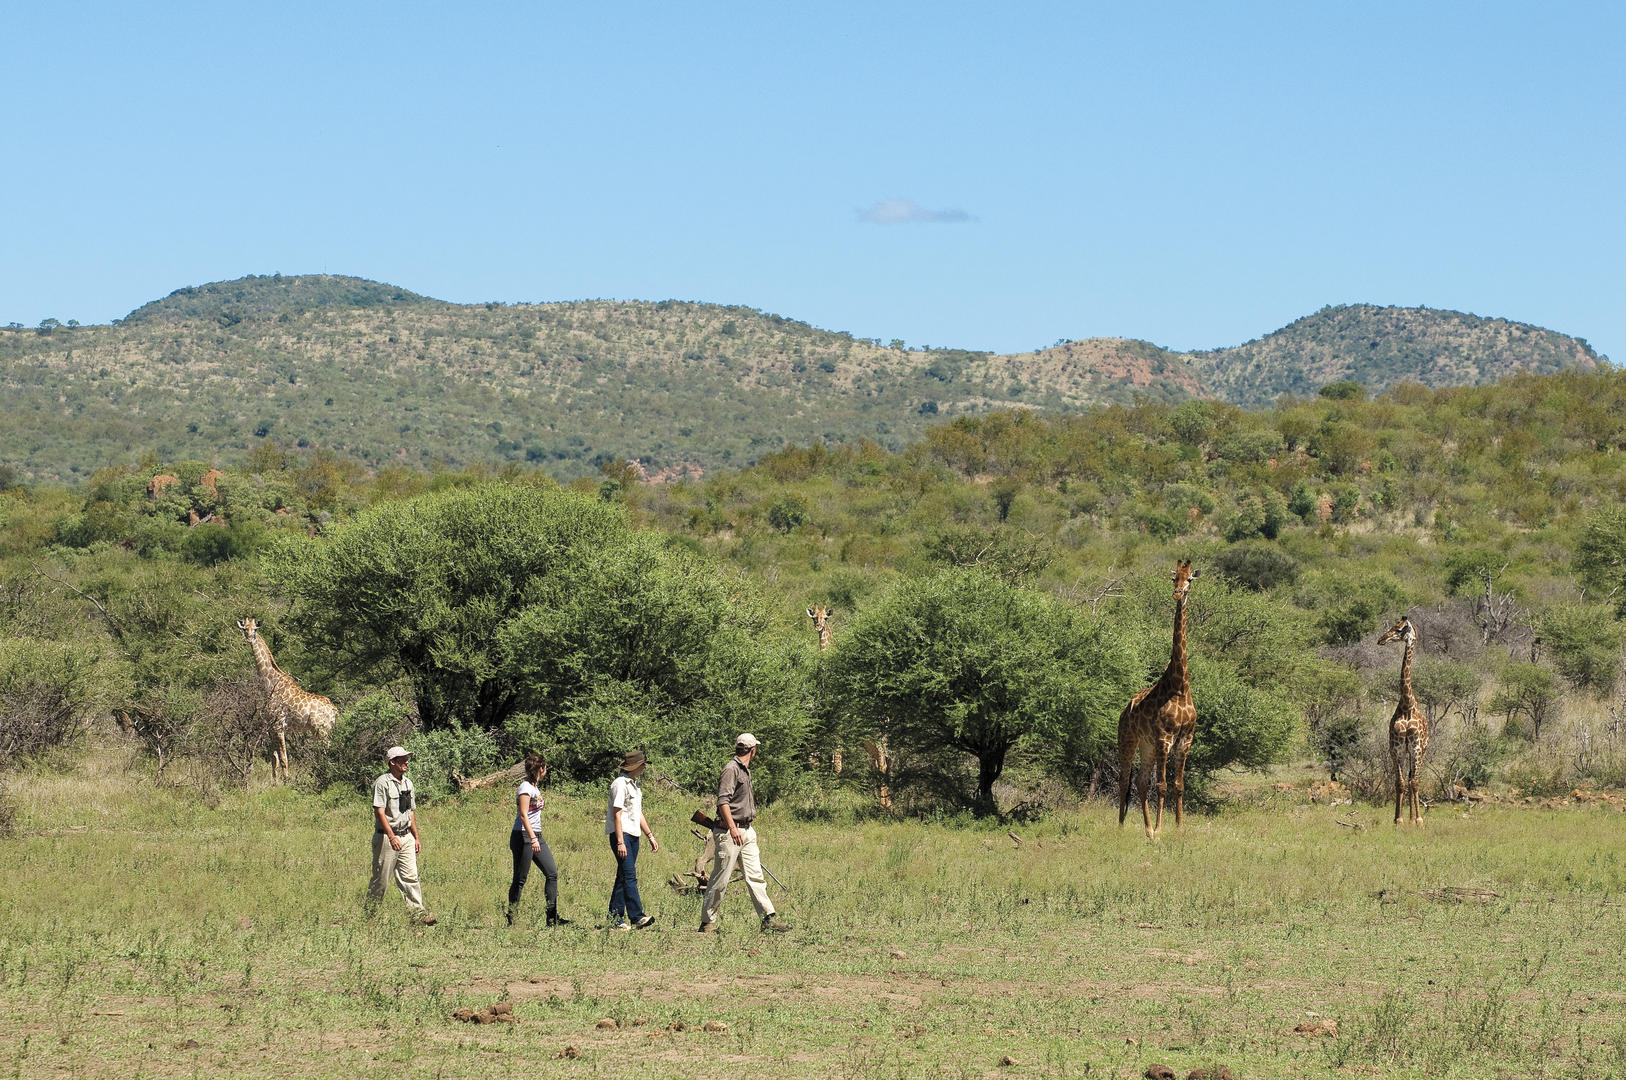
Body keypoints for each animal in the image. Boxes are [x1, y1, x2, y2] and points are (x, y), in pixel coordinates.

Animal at [235, 614, 336, 783]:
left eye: (255, 630)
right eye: (244, 629)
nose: (249, 638)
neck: (269, 684)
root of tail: (335, 711)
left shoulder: (279, 726)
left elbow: (283, 758)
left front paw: (287, 781)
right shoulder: (269, 727)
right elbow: (274, 758)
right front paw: (275, 783)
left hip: (322, 729)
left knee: (327, 749)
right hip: (320, 730)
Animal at [1112, 559, 1203, 839]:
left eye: (1190, 579)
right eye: (1174, 579)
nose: (1178, 594)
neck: (1180, 686)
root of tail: (1124, 711)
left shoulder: (1185, 739)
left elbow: (1178, 785)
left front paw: (1178, 827)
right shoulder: (1165, 737)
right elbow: (1162, 786)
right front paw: (1163, 829)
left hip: (1147, 746)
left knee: (1141, 782)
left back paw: (1148, 830)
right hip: (1128, 740)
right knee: (1125, 780)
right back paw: (1123, 827)